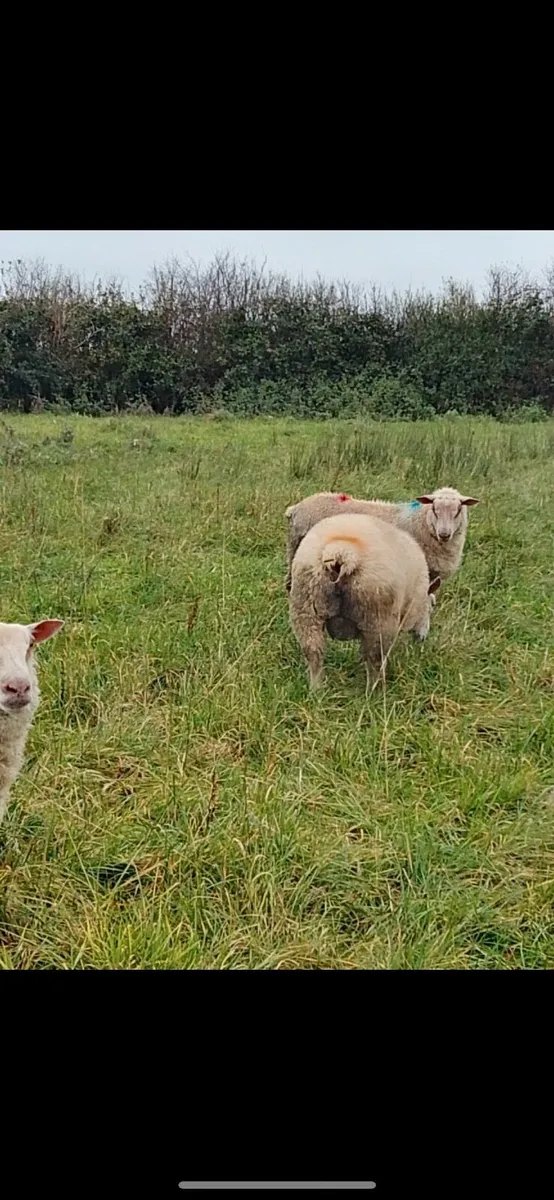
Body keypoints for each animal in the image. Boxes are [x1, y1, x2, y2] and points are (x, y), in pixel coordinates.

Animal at [289, 512, 440, 689]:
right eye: (432, 606)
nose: (421, 639)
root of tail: (343, 552)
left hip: (306, 608)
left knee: (313, 652)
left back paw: (317, 689)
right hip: (377, 617)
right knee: (375, 659)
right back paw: (376, 690)